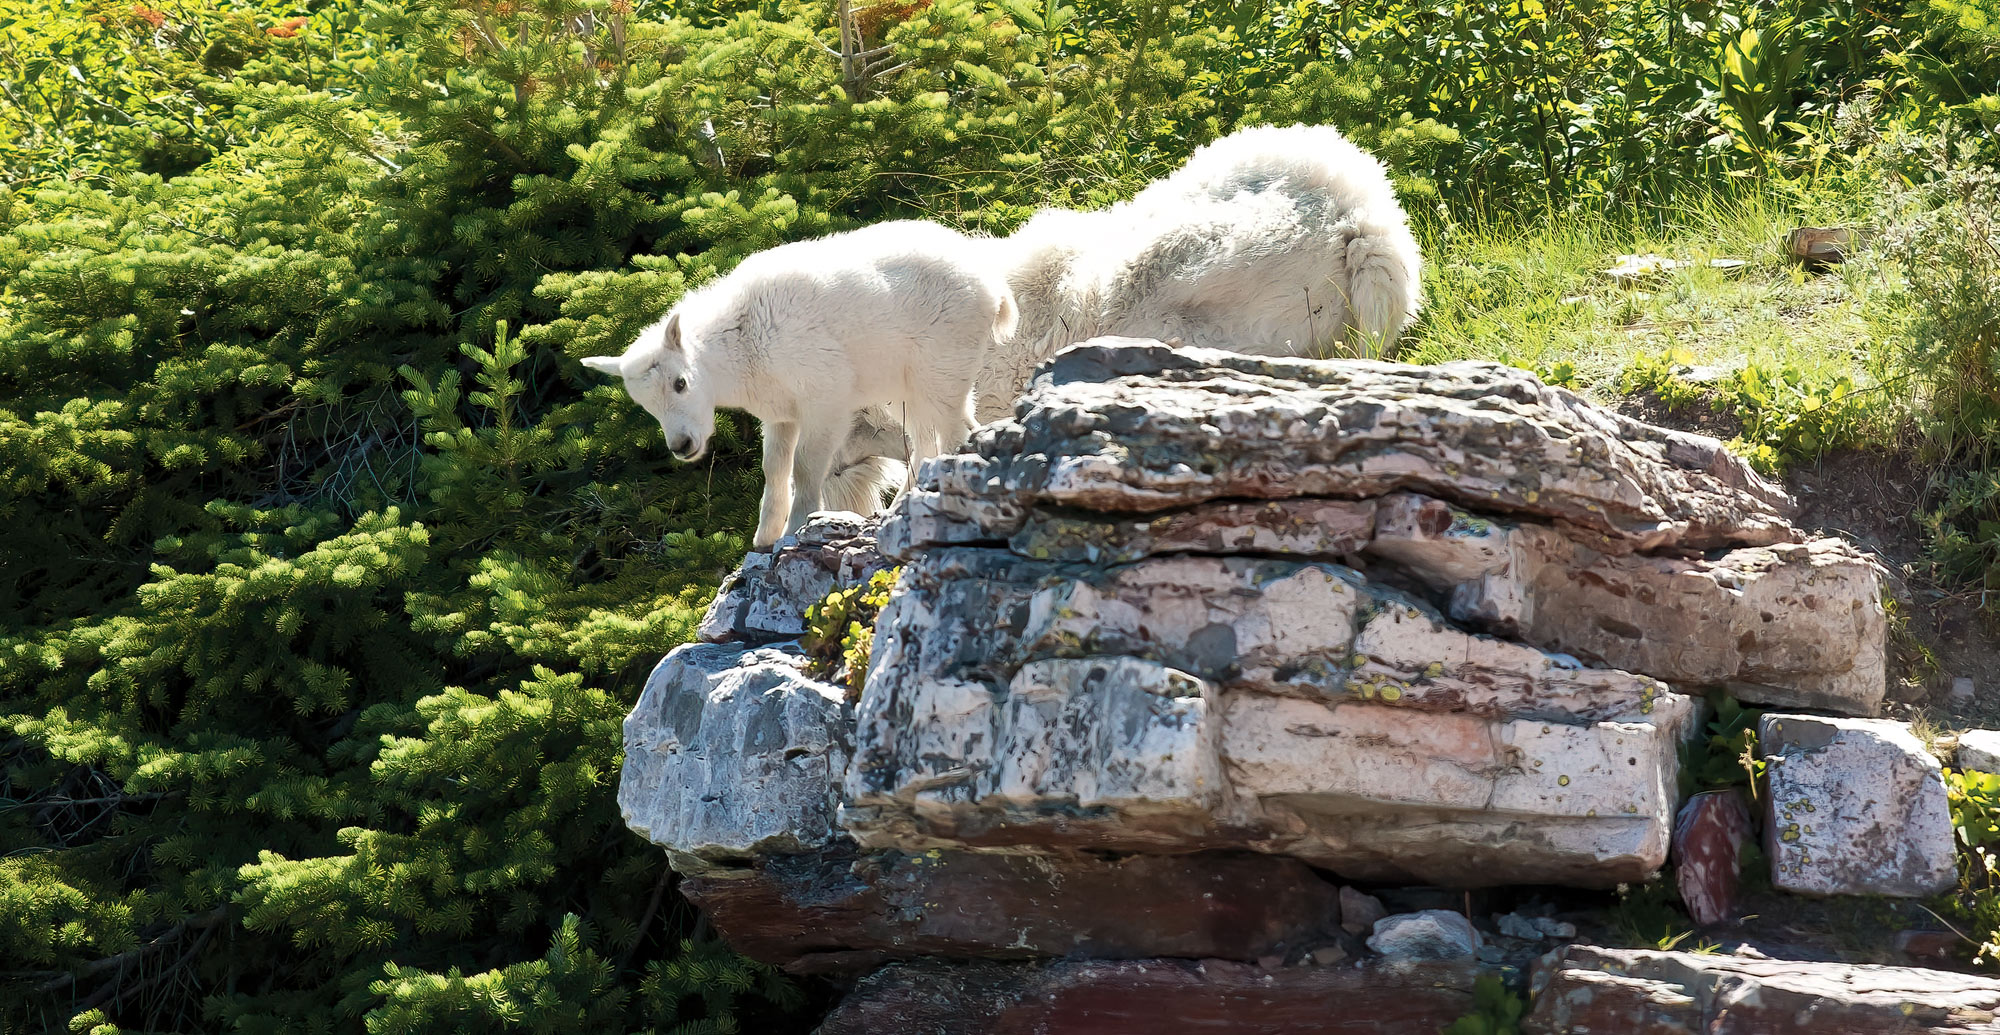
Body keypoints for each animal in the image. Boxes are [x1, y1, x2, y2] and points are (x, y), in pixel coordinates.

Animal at [580, 220, 1016, 551]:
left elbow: (806, 465)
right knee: (927, 439)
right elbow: (775, 468)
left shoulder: (825, 396)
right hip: (906, 386)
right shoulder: (779, 413)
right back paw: (900, 508)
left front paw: (797, 527)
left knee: (954, 431)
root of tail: (995, 288)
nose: (682, 446)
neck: (739, 344)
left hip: (943, 367)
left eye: (680, 382)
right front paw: (764, 538)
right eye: (645, 405)